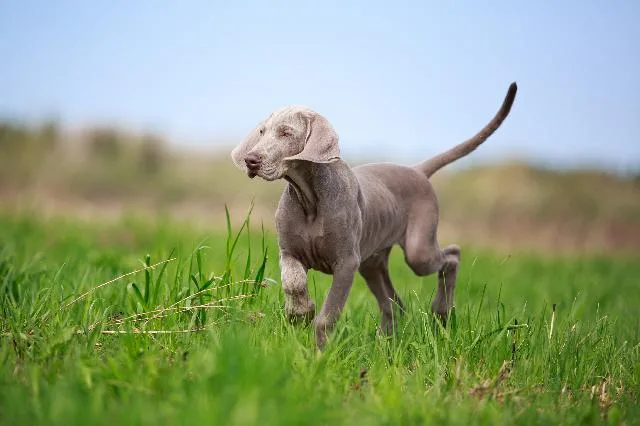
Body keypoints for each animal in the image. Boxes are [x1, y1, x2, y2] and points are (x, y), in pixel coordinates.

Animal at [232, 81, 516, 348]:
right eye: (262, 132)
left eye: (286, 133)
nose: (251, 160)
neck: (309, 197)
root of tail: (417, 170)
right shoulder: (289, 251)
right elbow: (293, 282)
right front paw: (299, 313)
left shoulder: (346, 263)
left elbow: (328, 315)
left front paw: (320, 351)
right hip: (372, 262)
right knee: (394, 303)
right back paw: (385, 344)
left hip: (417, 251)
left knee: (452, 255)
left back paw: (440, 312)